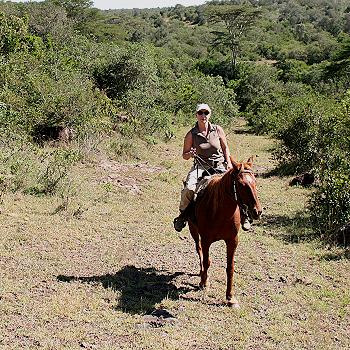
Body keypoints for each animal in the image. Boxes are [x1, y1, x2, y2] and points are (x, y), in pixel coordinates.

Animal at [187, 157, 262, 308]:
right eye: (241, 185)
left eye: (255, 182)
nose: (257, 211)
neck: (220, 212)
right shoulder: (206, 240)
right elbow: (207, 261)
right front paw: (203, 283)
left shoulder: (232, 241)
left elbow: (230, 267)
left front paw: (230, 297)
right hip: (194, 230)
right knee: (199, 250)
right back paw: (202, 274)